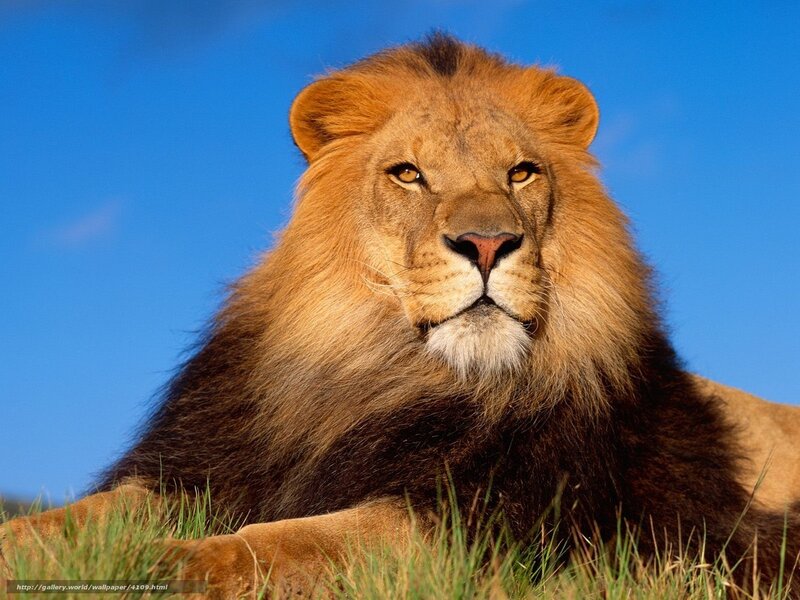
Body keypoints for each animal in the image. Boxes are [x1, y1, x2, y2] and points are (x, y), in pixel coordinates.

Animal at [2, 33, 800, 598]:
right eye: (408, 174)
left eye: (522, 173)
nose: (488, 243)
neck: (379, 372)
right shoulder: (201, 470)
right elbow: (82, 516)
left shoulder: (476, 524)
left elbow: (279, 544)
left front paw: (159, 566)